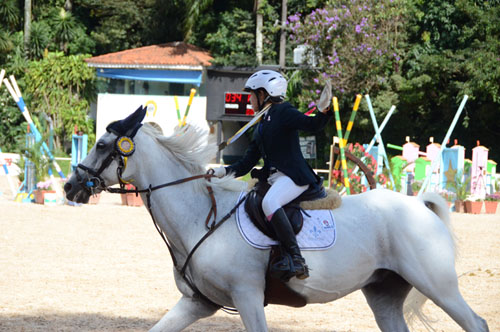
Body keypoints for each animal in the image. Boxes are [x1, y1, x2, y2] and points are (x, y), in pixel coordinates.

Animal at [63, 107, 488, 330]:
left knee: (476, 322)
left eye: (102, 144)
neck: (200, 218)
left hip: (438, 285)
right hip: (384, 292)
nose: (70, 186)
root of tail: (419, 205)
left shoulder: (248, 297)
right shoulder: (198, 302)